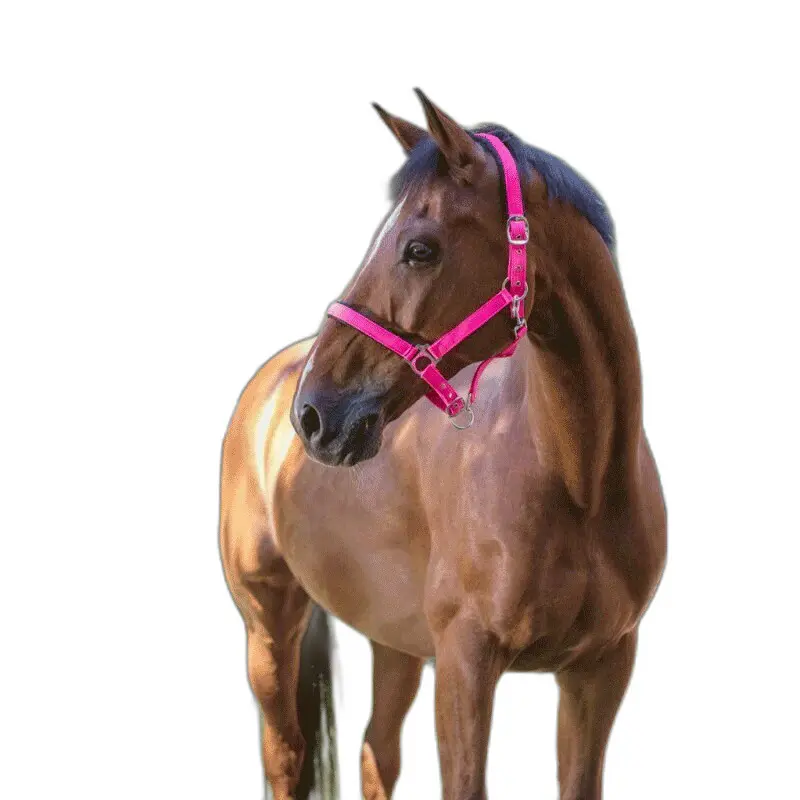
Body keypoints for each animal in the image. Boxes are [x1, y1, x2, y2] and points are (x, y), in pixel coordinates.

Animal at [219, 89, 667, 800]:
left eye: (419, 249)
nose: (315, 416)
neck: (580, 483)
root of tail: (269, 384)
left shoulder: (601, 669)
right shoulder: (464, 664)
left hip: (393, 639)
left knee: (376, 754)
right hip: (268, 623)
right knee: (285, 755)